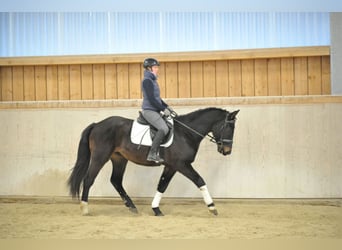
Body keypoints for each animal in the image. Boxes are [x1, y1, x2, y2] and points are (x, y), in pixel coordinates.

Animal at [68, 106, 239, 216]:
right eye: (229, 128)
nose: (227, 151)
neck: (186, 133)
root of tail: (97, 124)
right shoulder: (181, 165)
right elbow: (199, 180)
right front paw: (212, 207)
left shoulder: (171, 166)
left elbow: (162, 186)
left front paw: (156, 209)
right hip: (100, 156)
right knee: (89, 179)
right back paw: (85, 208)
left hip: (119, 159)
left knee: (116, 181)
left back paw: (132, 207)